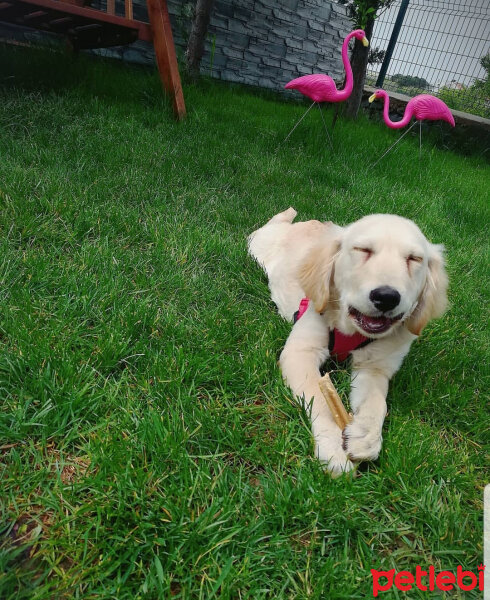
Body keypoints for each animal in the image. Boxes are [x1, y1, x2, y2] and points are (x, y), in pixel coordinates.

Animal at [249, 209, 448, 476]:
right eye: (363, 250)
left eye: (414, 259)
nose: (387, 297)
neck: (351, 331)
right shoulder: (300, 351)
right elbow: (319, 398)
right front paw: (333, 447)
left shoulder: (375, 368)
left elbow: (376, 403)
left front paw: (365, 437)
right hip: (258, 244)